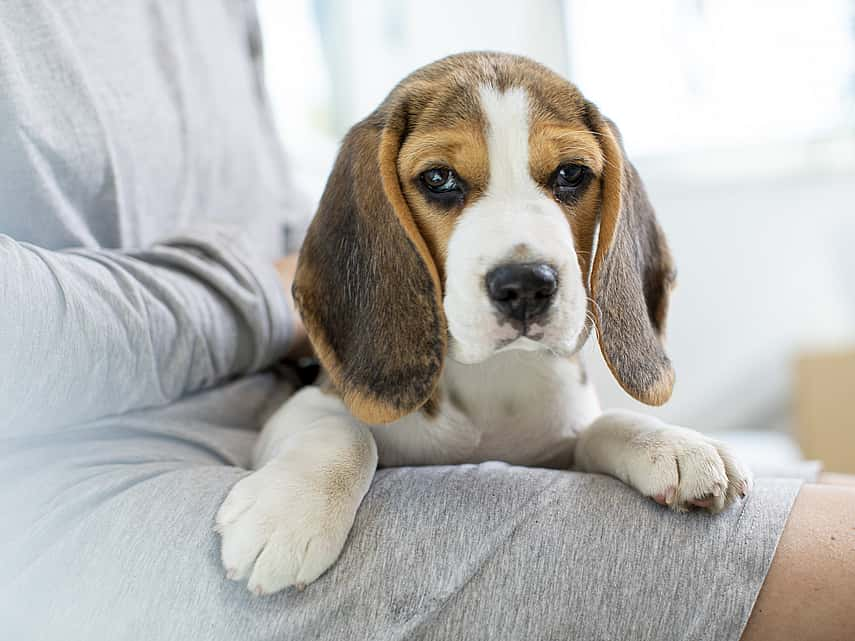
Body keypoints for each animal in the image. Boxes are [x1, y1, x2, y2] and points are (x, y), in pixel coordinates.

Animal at [217, 51, 752, 596]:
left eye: (572, 173)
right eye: (438, 179)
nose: (526, 286)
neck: (491, 377)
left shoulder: (556, 444)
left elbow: (604, 425)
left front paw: (672, 443)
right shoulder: (302, 406)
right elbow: (343, 431)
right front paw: (288, 514)